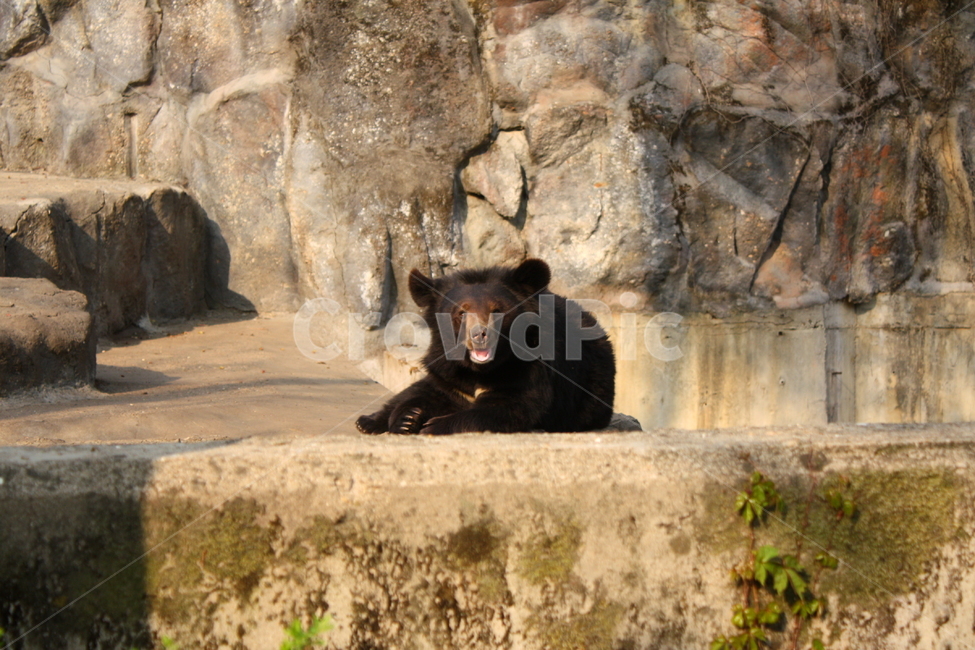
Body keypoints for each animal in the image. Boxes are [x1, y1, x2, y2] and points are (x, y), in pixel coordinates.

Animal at [355, 258, 615, 435]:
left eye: (497, 310)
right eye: (461, 312)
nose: (480, 335)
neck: (482, 369)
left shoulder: (532, 371)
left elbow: (510, 407)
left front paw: (433, 425)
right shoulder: (446, 371)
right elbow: (424, 392)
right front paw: (407, 418)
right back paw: (366, 421)